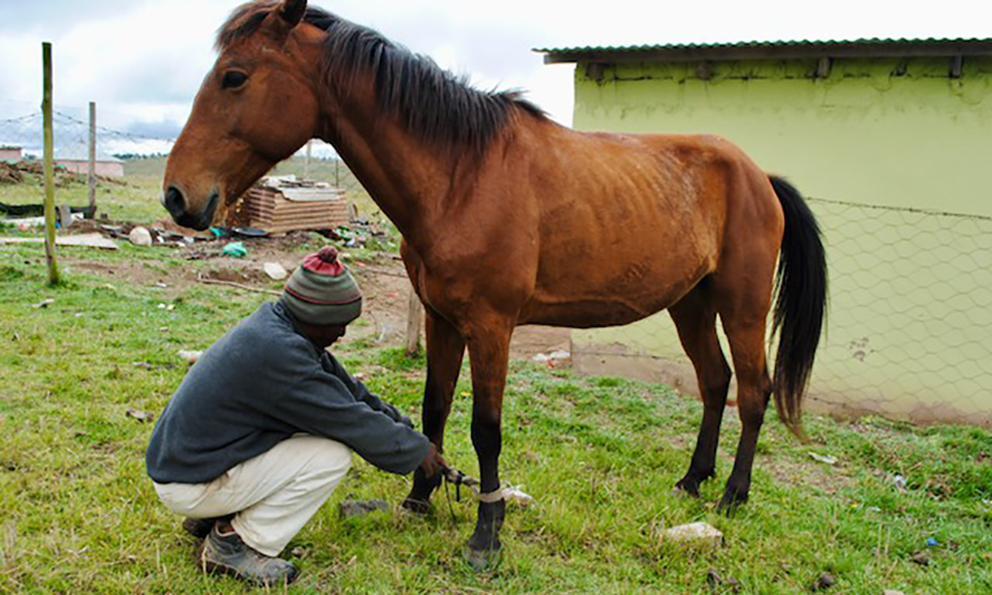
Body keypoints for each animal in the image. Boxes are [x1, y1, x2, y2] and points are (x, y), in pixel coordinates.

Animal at [162, 0, 827, 569]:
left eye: (235, 77)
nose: (177, 196)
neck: (461, 174)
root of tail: (759, 176)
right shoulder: (441, 319)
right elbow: (433, 407)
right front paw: (420, 499)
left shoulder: (491, 327)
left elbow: (486, 430)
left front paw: (486, 533)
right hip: (690, 304)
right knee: (714, 382)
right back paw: (692, 481)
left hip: (741, 306)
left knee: (753, 392)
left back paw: (733, 495)